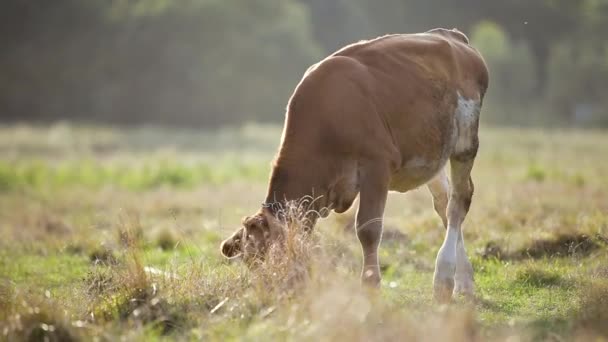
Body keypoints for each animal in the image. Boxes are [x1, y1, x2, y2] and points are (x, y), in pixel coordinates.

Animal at [221, 28, 486, 302]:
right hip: (433, 153)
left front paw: (370, 285)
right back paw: (463, 280)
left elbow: (368, 229)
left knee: (457, 203)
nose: (270, 292)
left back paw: (444, 278)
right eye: (250, 261)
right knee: (444, 203)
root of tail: (451, 36)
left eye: (271, 253)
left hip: (465, 143)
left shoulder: (377, 166)